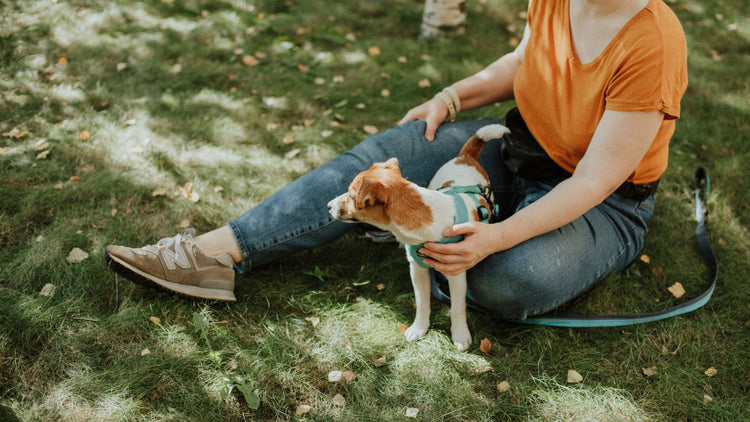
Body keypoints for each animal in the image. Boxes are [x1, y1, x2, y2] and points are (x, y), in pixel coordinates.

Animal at [326, 123, 508, 352]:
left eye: (351, 196)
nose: (328, 206)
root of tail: (465, 157)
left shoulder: (456, 273)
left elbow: (457, 307)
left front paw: (459, 334)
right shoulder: (417, 269)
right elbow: (422, 302)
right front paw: (419, 328)